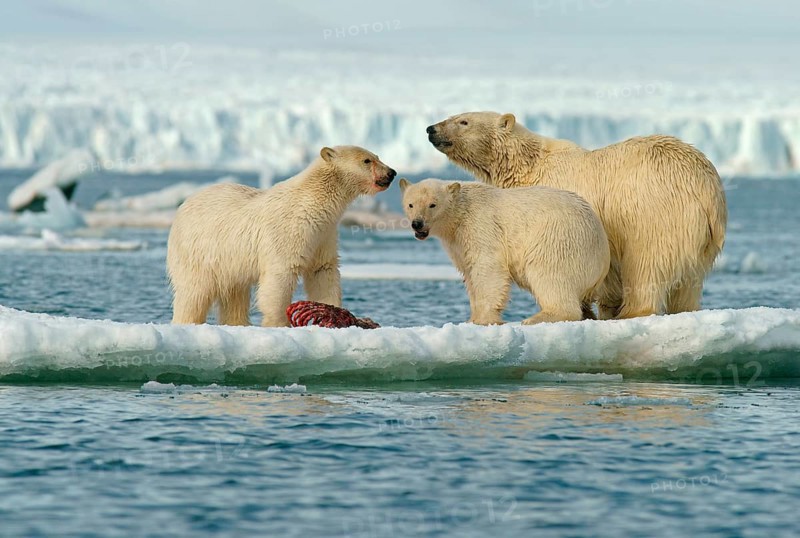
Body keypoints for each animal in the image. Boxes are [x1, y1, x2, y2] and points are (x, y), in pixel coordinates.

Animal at [167, 146, 396, 327]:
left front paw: (333, 312)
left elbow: (323, 271)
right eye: (367, 160)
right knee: (194, 293)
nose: (392, 172)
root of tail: (183, 206)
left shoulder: (324, 234)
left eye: (377, 155)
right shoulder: (288, 231)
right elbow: (280, 277)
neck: (312, 204)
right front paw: (278, 324)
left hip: (229, 261)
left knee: (235, 295)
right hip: (199, 251)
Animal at [399, 178, 610, 325]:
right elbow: (469, 273)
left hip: (558, 240)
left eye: (432, 204)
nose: (417, 223)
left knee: (550, 276)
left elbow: (488, 269)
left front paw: (484, 319)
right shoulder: (457, 242)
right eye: (411, 204)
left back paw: (535, 318)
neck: (460, 213)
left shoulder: (480, 226)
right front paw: (471, 319)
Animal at [426, 111, 727, 320]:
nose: (431, 129)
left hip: (655, 212)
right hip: (703, 240)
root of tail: (708, 191)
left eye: (463, 121)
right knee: (688, 284)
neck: (528, 167)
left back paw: (633, 311)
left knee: (645, 263)